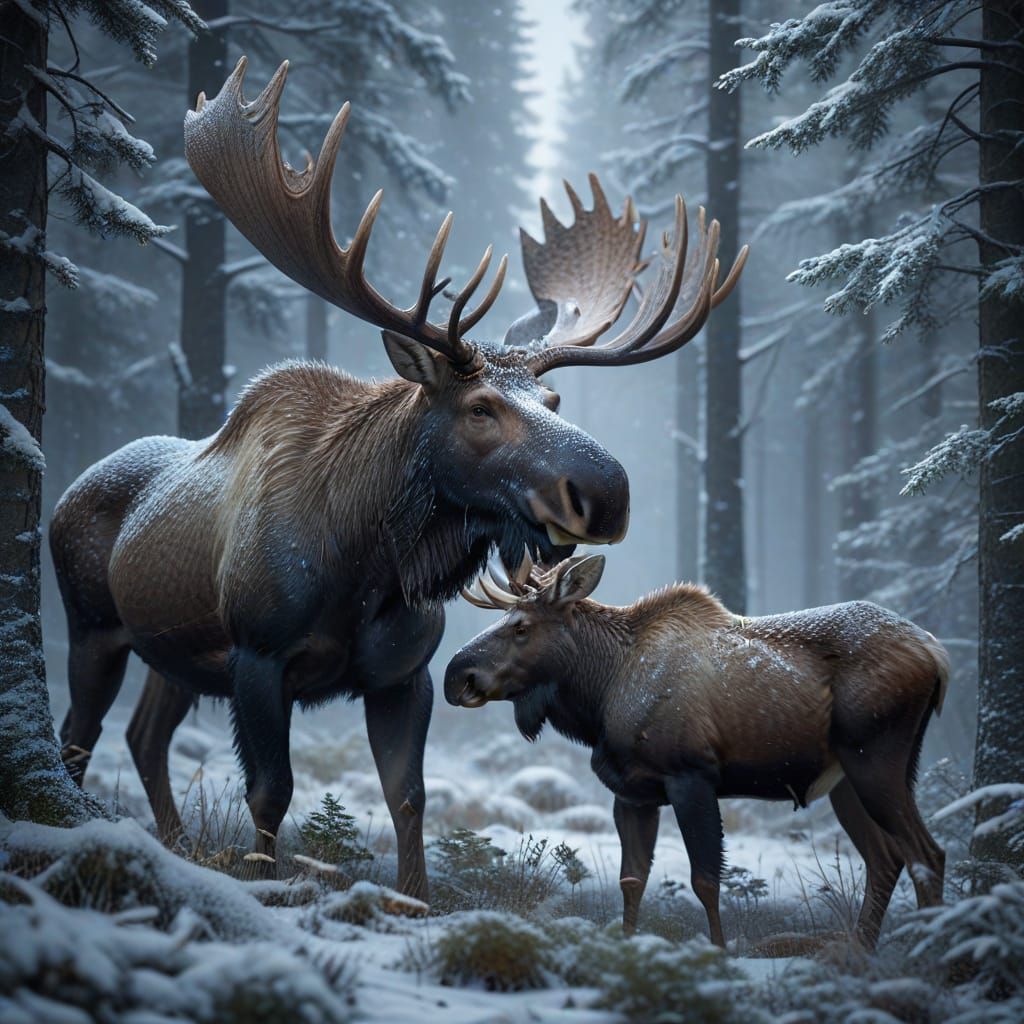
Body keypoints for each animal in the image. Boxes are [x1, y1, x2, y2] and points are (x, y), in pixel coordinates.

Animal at [50, 58, 747, 899]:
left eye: (552, 400)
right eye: (479, 407)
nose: (606, 492)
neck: (367, 565)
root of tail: (65, 494)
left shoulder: (402, 674)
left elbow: (407, 795)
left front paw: (414, 895)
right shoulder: (259, 655)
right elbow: (271, 789)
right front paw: (263, 879)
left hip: (174, 651)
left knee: (143, 736)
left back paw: (177, 843)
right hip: (93, 625)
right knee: (80, 735)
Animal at [444, 554, 950, 948]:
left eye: (521, 626)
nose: (457, 676)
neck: (601, 695)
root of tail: (937, 655)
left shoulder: (692, 776)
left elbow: (705, 880)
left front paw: (720, 953)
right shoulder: (631, 792)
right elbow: (632, 880)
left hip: (875, 759)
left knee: (927, 854)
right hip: (847, 778)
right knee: (886, 860)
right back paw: (862, 955)